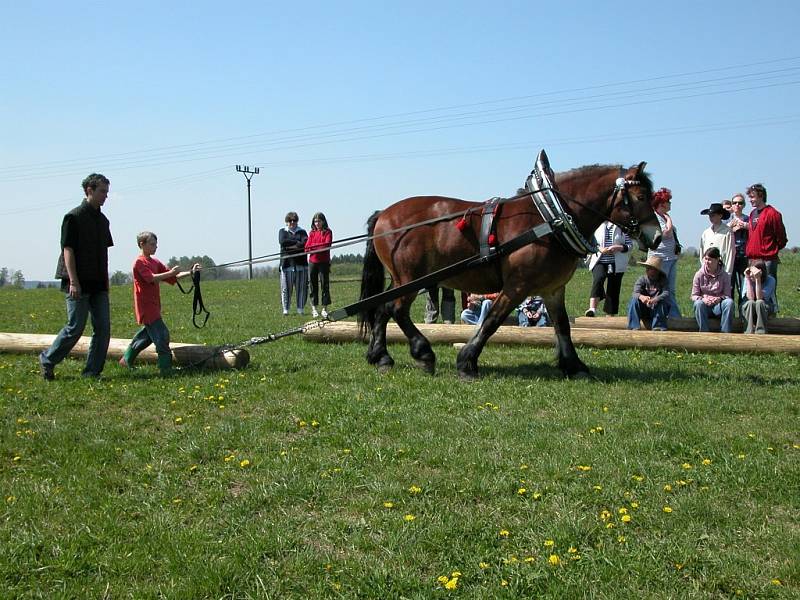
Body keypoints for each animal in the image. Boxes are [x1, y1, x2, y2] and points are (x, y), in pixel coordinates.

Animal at [360, 157, 660, 378]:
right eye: (641, 196)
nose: (656, 236)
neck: (549, 219)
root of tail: (384, 214)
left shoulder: (552, 289)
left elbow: (563, 326)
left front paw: (574, 366)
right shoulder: (517, 285)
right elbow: (492, 320)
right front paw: (467, 362)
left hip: (401, 279)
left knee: (382, 308)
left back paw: (381, 357)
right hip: (411, 278)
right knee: (397, 309)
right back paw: (423, 353)